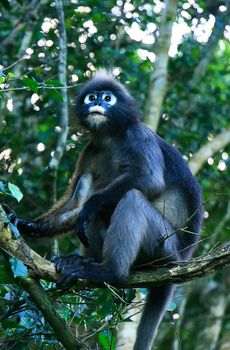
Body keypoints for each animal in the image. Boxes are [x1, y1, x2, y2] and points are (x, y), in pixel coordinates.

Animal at [4, 69, 203, 348]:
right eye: (92, 97)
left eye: (108, 98)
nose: (97, 102)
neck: (110, 137)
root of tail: (185, 256)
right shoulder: (91, 149)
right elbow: (76, 205)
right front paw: (23, 223)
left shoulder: (138, 135)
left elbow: (149, 180)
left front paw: (92, 204)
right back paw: (84, 261)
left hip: (166, 249)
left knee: (130, 198)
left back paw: (107, 270)